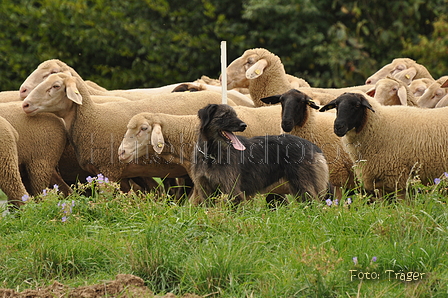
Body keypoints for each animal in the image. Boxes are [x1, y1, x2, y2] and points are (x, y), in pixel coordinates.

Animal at [189, 104, 328, 205]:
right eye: (225, 115)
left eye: (235, 115)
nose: (243, 125)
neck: (211, 155)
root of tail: (312, 145)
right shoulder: (206, 192)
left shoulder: (233, 192)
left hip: (304, 186)